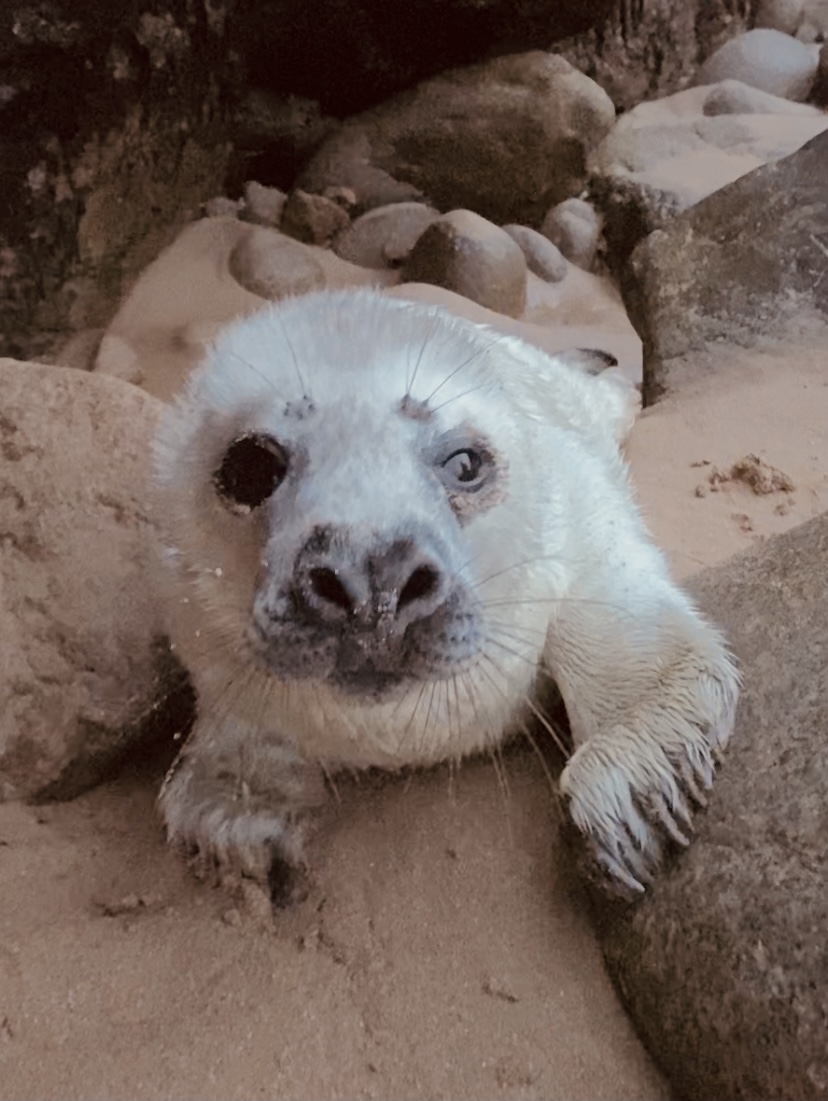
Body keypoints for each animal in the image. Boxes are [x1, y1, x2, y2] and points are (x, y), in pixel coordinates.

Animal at [154, 289, 738, 899]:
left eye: (465, 463)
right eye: (249, 468)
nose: (372, 578)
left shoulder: (585, 521)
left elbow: (631, 638)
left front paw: (623, 787)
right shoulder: (209, 652)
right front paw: (237, 821)